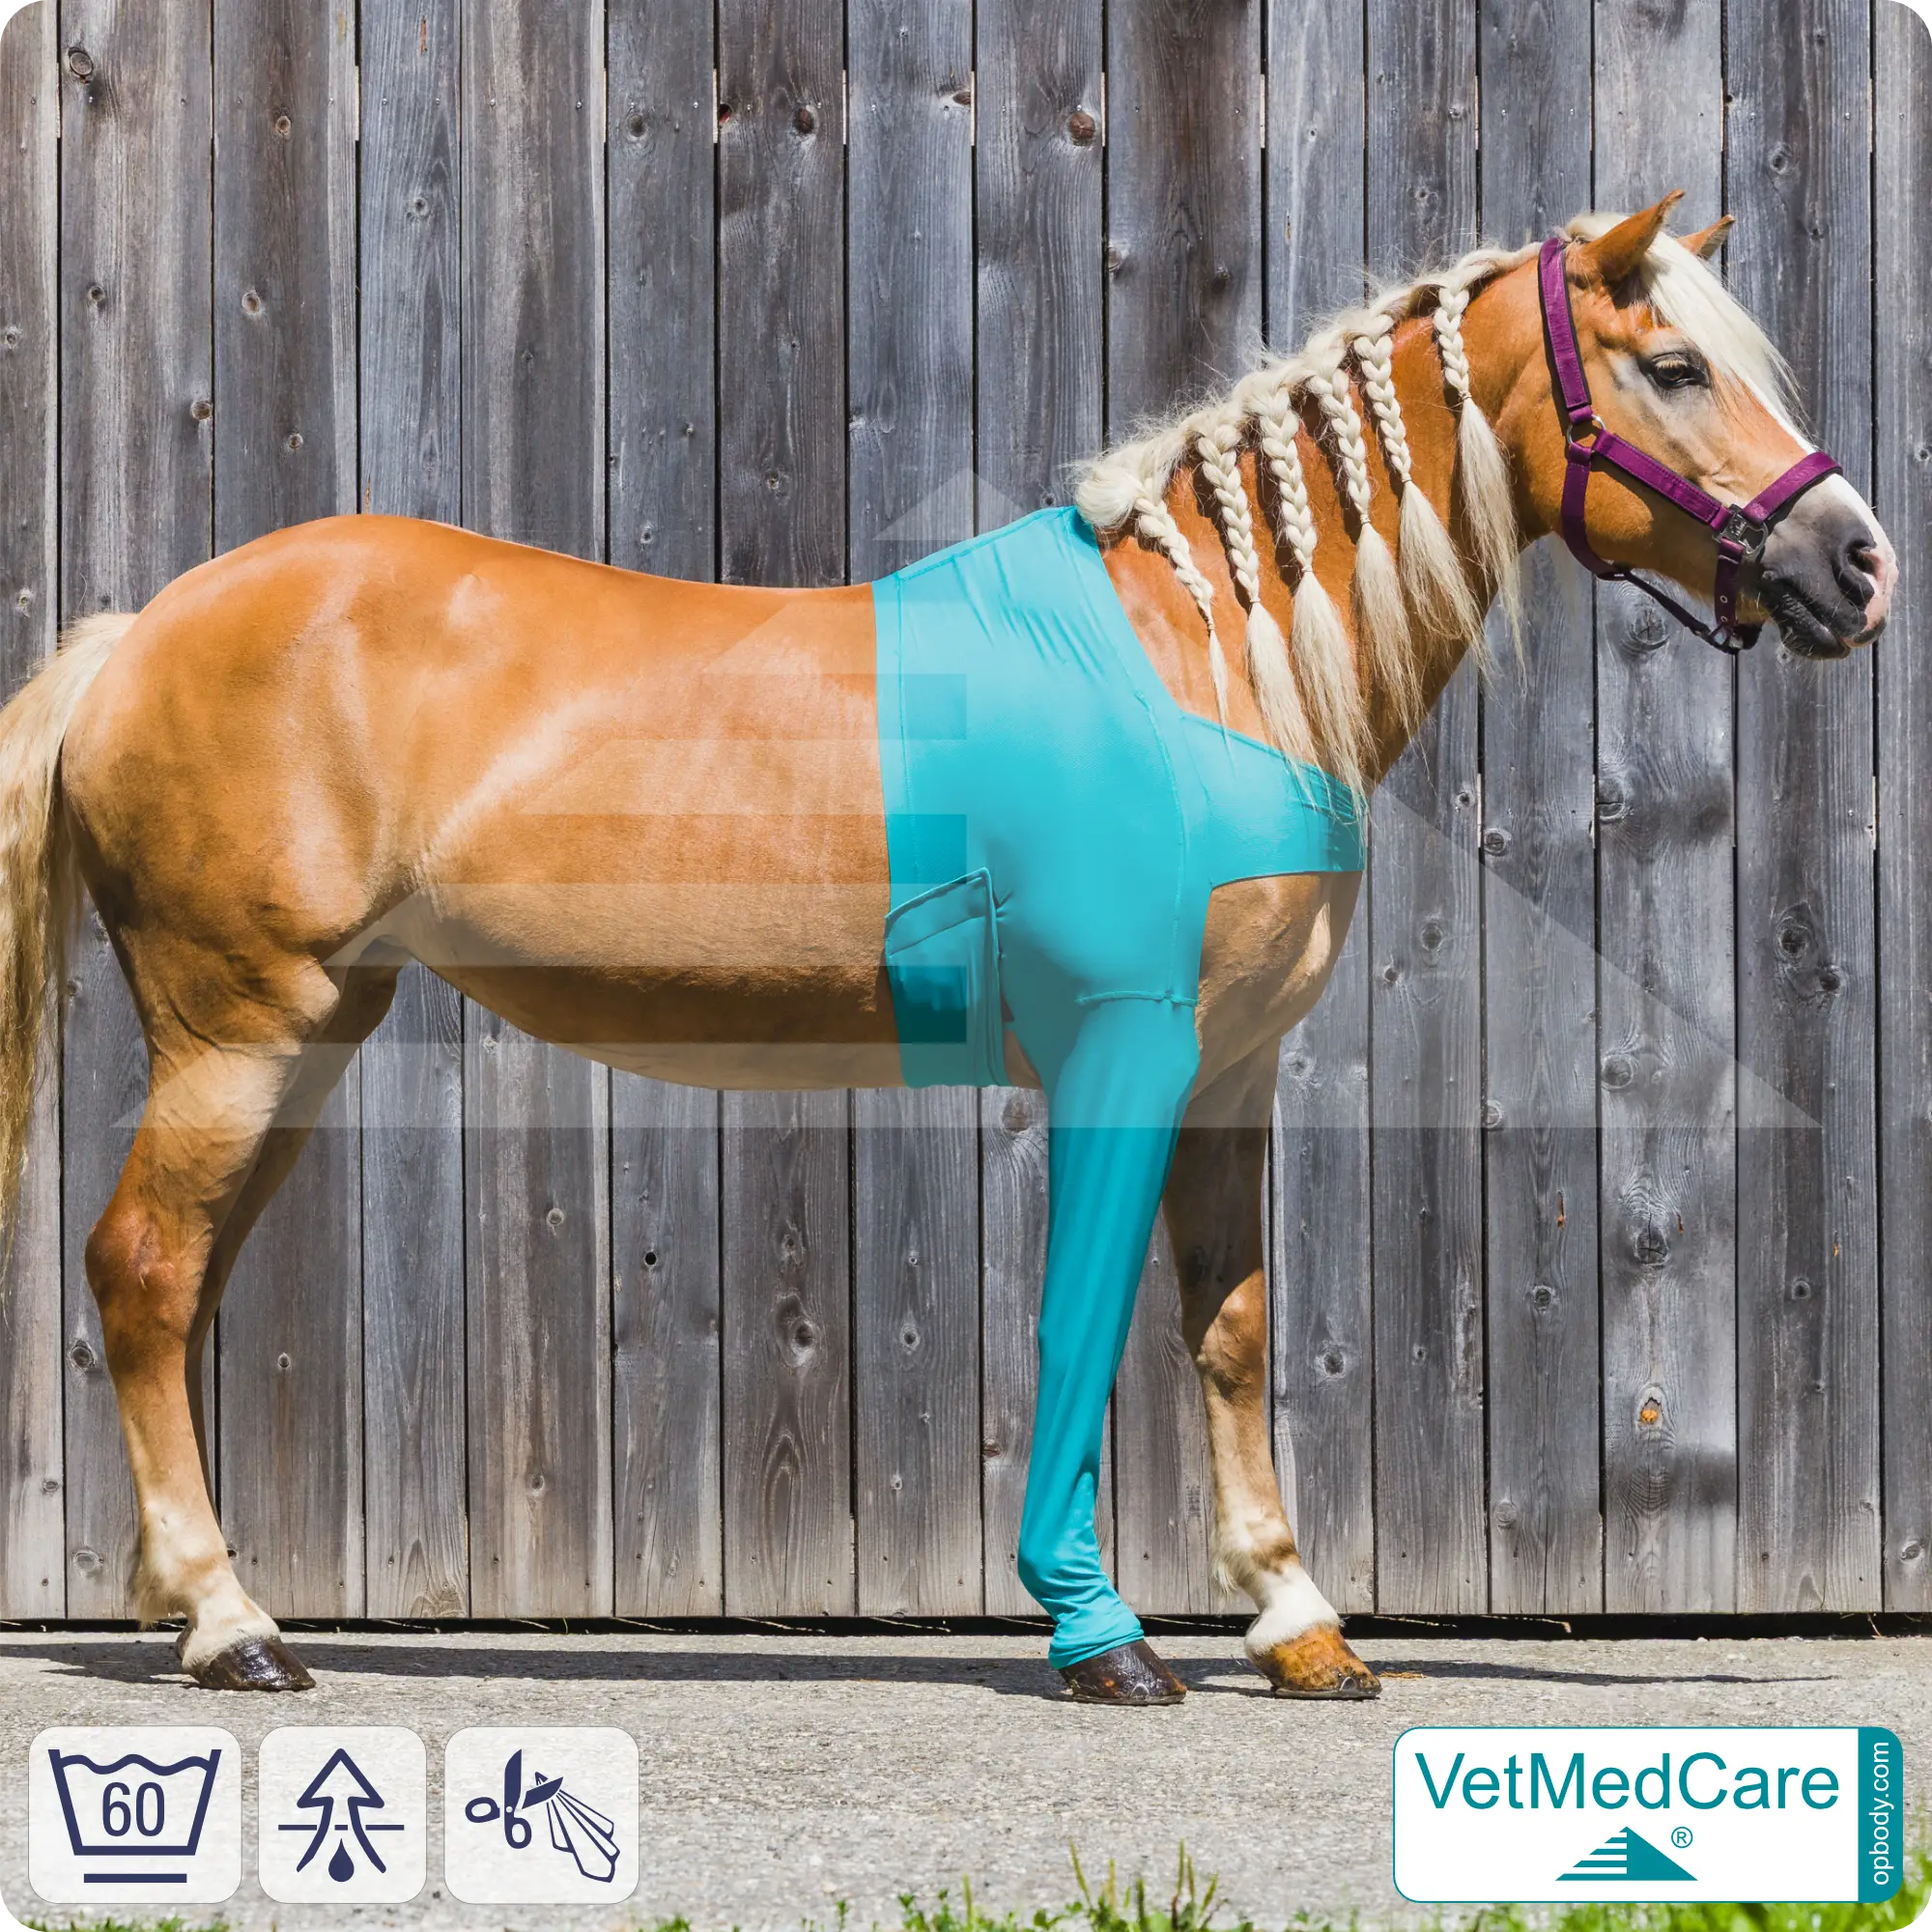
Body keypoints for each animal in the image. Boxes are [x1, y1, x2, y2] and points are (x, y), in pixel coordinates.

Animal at [0, 194, 1892, 1702]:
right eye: (1672, 366)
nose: (1855, 564)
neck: (1204, 652)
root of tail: (139, 631)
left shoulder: (1233, 1066)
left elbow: (1228, 1328)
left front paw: (1299, 1628)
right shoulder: (1124, 1045)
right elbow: (1080, 1324)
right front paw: (1106, 1640)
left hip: (309, 1037)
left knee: (182, 1283)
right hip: (238, 1030)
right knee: (143, 1273)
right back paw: (233, 1628)